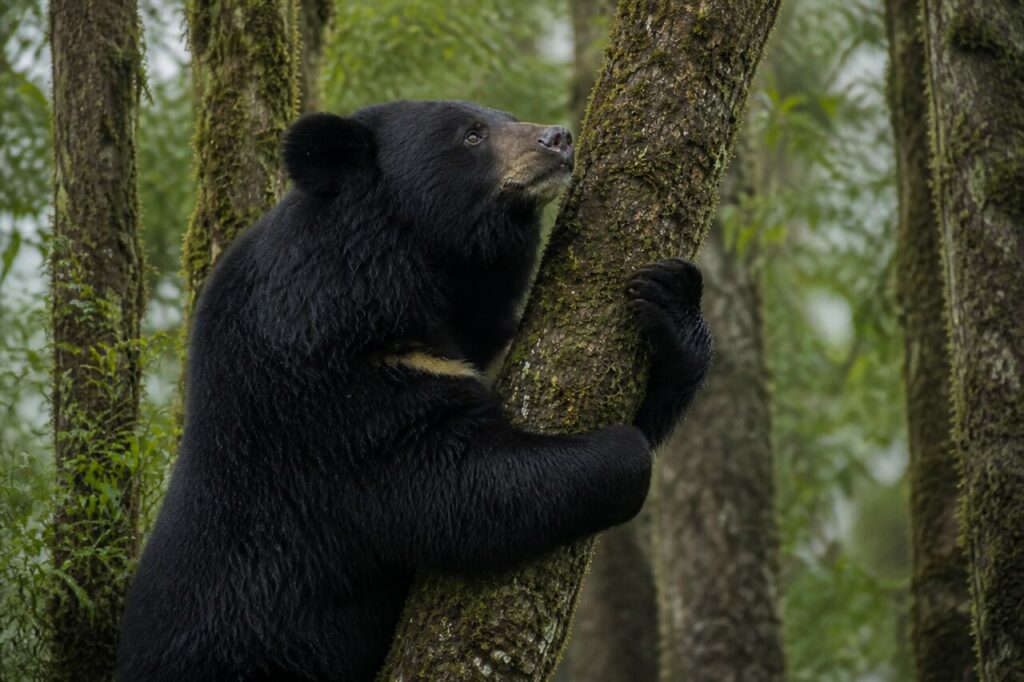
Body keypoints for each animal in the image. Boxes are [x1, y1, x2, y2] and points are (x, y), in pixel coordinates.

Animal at [117, 100, 712, 681]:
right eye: (471, 135)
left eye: (504, 116)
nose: (559, 139)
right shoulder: (326, 393)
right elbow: (447, 484)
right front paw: (622, 451)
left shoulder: (473, 342)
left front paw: (669, 294)